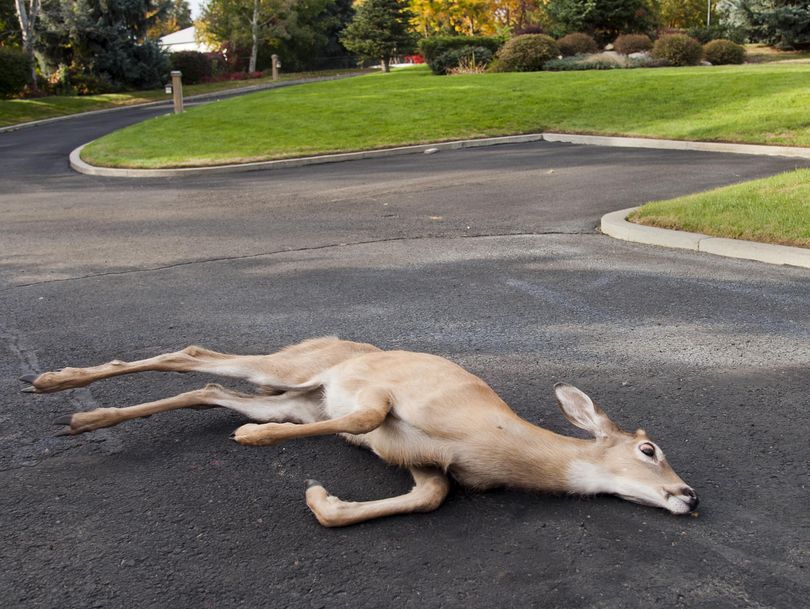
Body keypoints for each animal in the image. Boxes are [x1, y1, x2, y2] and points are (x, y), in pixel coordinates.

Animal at [22, 334, 696, 524]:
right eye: (649, 449)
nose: (689, 495)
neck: (494, 444)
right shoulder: (394, 395)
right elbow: (370, 417)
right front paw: (256, 449)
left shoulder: (429, 466)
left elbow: (428, 498)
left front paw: (323, 500)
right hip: (301, 368)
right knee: (193, 356)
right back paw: (57, 384)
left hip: (294, 402)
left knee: (208, 389)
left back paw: (84, 416)